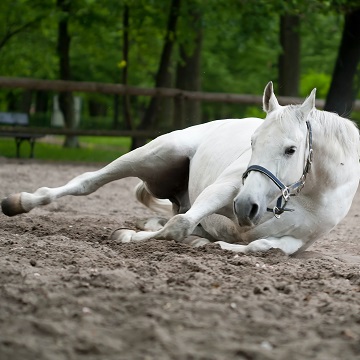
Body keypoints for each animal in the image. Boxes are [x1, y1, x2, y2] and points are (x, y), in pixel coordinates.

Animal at [1, 82, 358, 255]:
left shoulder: (299, 240)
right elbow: (178, 225)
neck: (310, 194)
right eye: (253, 142)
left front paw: (219, 246)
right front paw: (127, 236)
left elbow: (261, 246)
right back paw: (19, 202)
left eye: (290, 149)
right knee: (88, 182)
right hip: (152, 154)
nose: (246, 207)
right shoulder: (225, 189)